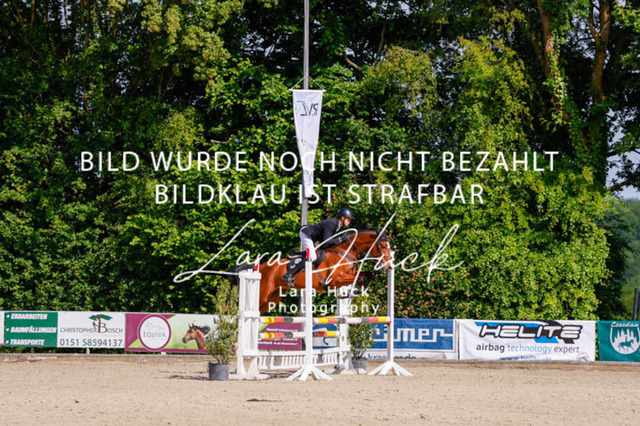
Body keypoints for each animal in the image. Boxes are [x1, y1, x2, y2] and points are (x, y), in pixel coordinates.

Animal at [231, 228, 393, 314]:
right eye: (383, 246)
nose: (389, 266)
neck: (344, 252)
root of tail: (262, 266)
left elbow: (366, 275)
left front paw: (355, 291)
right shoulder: (334, 280)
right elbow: (358, 277)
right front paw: (352, 291)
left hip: (273, 298)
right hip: (262, 294)